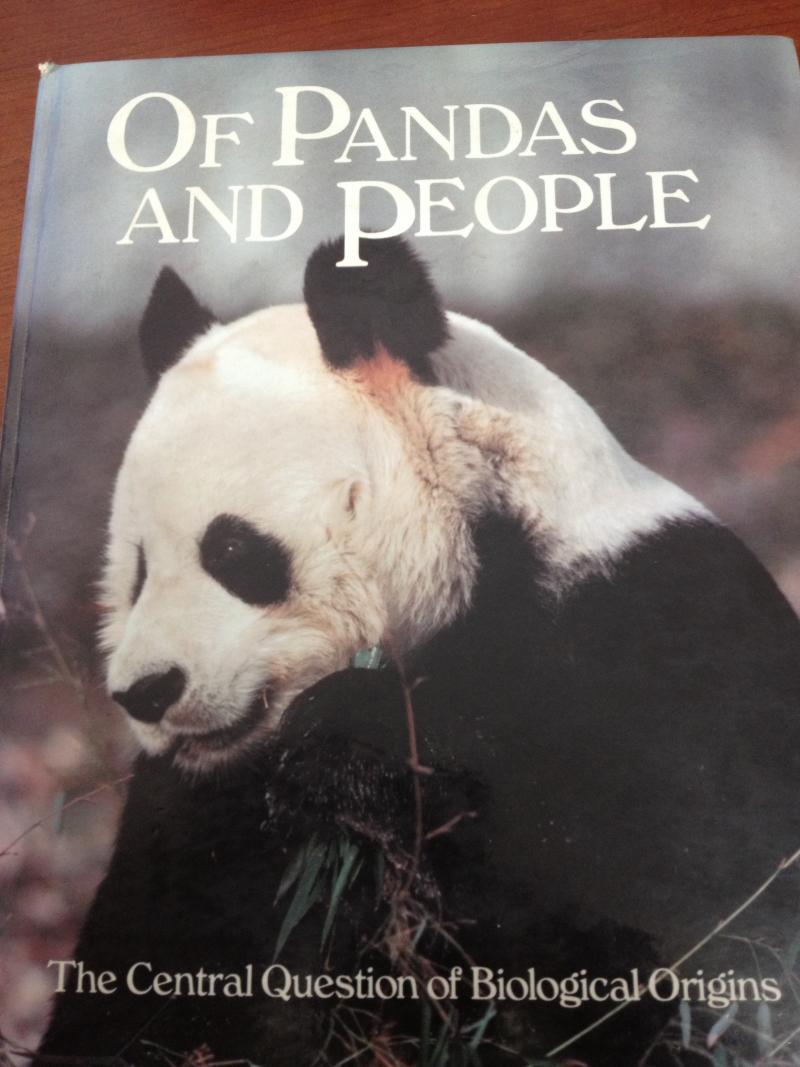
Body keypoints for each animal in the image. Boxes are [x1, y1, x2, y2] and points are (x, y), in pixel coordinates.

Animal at [38, 237, 800, 1067]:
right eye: (138, 569)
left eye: (232, 550)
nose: (145, 691)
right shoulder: (200, 803)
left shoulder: (653, 635)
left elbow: (693, 898)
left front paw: (349, 740)